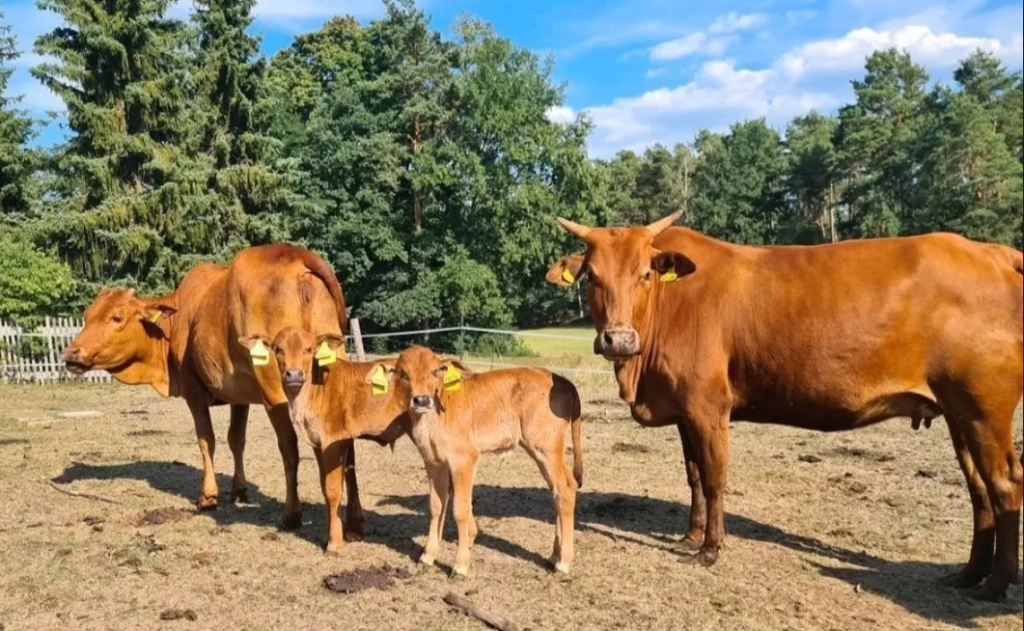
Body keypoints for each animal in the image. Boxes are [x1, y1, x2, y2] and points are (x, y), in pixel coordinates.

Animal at [62, 245, 365, 538]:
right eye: (87, 315)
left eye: (117, 317)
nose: (71, 353)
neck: (176, 319)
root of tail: (296, 255)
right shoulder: (239, 395)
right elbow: (236, 439)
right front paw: (239, 490)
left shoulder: (194, 392)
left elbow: (206, 440)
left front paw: (208, 496)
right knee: (346, 444)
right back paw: (354, 522)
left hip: (276, 387)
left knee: (288, 446)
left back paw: (291, 514)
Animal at [238, 327, 407, 554]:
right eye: (277, 349)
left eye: (308, 349)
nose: (293, 374)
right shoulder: (319, 444)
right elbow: (324, 488)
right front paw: (326, 536)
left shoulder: (334, 441)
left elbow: (333, 490)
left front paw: (334, 543)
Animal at [366, 346, 584, 578]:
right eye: (403, 373)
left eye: (435, 371)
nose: (421, 400)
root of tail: (561, 379)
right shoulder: (434, 463)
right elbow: (436, 506)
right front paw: (428, 557)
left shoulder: (464, 460)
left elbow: (460, 510)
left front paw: (460, 566)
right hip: (544, 452)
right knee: (564, 487)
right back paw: (554, 556)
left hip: (546, 448)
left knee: (564, 491)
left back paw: (563, 562)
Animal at [546, 212, 1023, 601]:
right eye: (592, 277)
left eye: (645, 274)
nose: (618, 339)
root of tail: (990, 251)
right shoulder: (685, 411)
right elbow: (694, 476)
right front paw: (690, 537)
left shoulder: (708, 407)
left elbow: (715, 477)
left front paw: (711, 548)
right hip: (959, 413)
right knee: (978, 488)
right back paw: (968, 574)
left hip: (985, 408)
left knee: (1004, 484)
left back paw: (996, 585)